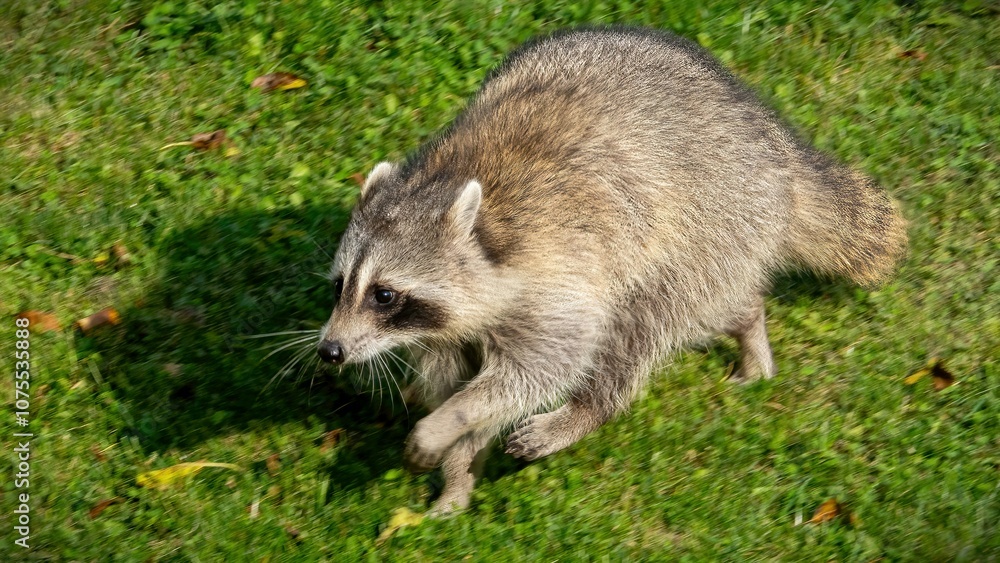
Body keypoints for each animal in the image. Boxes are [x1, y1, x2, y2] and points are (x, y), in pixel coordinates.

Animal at [316, 26, 907, 515]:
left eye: (385, 295)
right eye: (342, 285)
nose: (330, 350)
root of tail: (774, 143)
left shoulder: (561, 278)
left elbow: (536, 371)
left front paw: (449, 424)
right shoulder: (451, 328)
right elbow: (457, 380)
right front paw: (460, 466)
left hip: (711, 219)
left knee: (647, 321)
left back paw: (589, 409)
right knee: (715, 304)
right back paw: (746, 320)